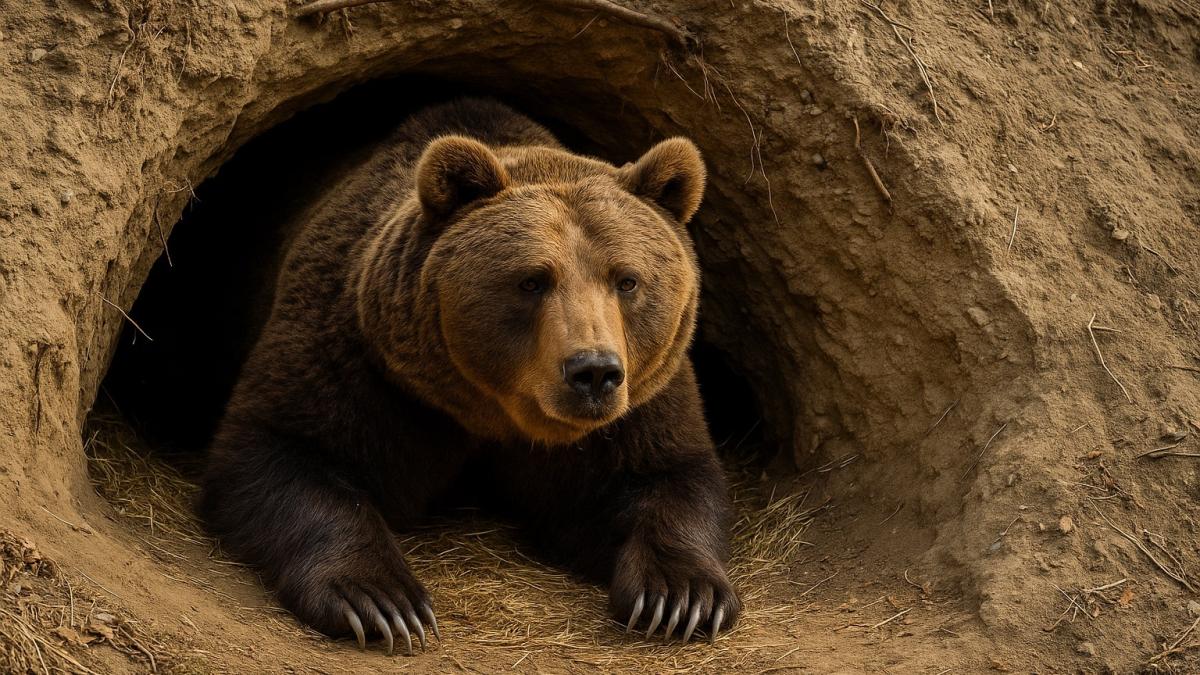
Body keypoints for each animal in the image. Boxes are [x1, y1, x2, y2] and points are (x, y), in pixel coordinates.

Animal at [198, 98, 740, 655]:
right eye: (532, 280)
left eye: (627, 280)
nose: (593, 372)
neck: (494, 413)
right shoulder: (358, 361)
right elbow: (281, 449)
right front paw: (382, 602)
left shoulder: (642, 399)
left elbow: (667, 475)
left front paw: (679, 598)